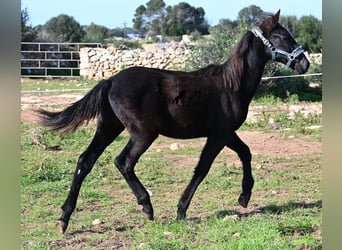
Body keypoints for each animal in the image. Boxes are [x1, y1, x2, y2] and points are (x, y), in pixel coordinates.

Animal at [37, 10, 310, 234]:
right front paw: (181, 210)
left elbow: (246, 152)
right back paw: (147, 207)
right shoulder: (218, 136)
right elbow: (202, 168)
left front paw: (244, 197)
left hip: (109, 127)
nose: (304, 63)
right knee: (123, 162)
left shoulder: (226, 134)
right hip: (143, 133)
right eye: (282, 36)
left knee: (86, 160)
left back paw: (64, 219)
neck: (232, 84)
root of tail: (111, 80)